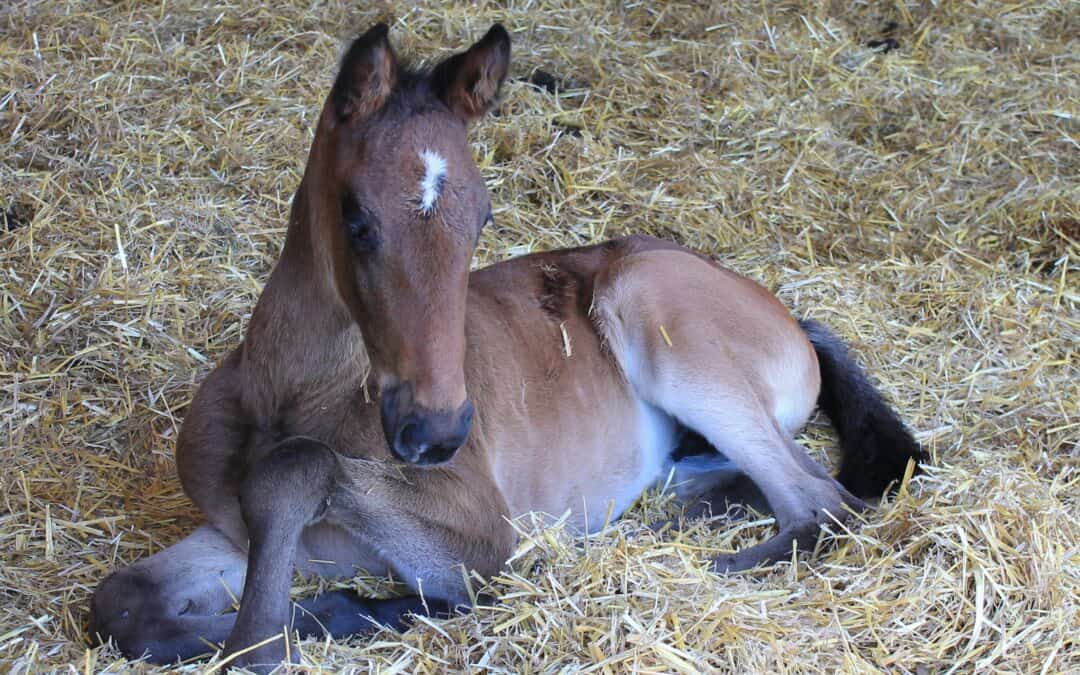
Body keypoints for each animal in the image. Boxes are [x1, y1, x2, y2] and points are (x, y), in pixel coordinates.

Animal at [88, 23, 924, 669]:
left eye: (483, 217)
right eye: (357, 217)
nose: (437, 431)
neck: (296, 395)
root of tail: (790, 316)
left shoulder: (484, 538)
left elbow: (301, 468)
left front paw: (290, 631)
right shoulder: (234, 531)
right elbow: (120, 602)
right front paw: (337, 613)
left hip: (657, 318)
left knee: (823, 503)